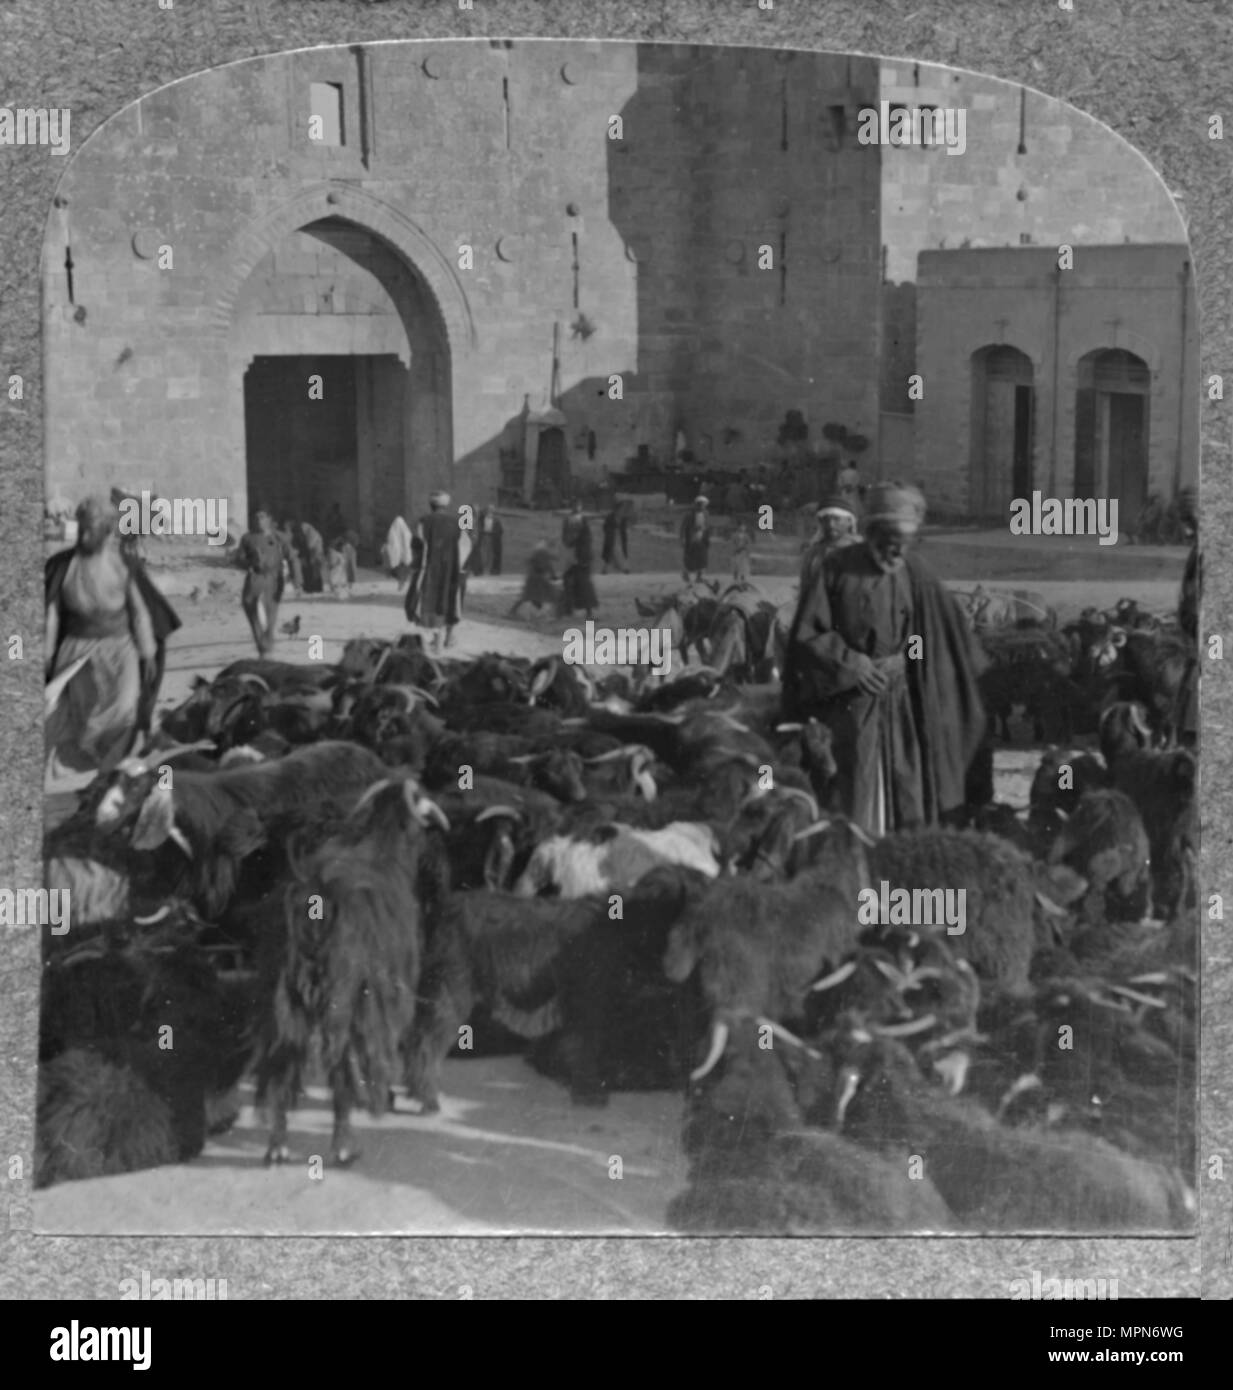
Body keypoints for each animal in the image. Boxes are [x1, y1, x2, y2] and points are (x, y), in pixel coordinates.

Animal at [258, 778, 450, 1167]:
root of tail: (316, 898)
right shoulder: (386, 996)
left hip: (283, 1000)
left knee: (281, 1060)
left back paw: (278, 1145)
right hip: (346, 998)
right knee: (341, 1065)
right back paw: (344, 1145)